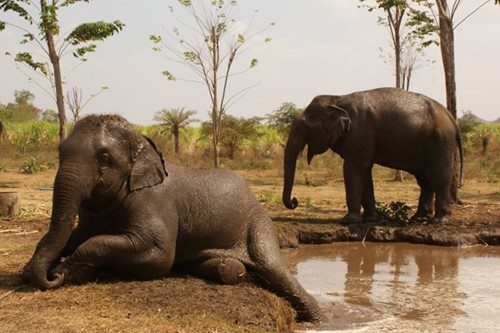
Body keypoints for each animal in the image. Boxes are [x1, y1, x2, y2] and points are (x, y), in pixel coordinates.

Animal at [21, 114, 322, 322]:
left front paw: (65, 269)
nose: (50, 277)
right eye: (60, 152)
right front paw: (30, 269)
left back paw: (317, 318)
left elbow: (158, 255)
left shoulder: (154, 201)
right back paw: (227, 267)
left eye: (104, 158)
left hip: (258, 221)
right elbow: (74, 236)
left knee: (274, 269)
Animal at [284, 87, 462, 223]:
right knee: (424, 180)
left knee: (438, 178)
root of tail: (451, 118)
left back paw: (439, 221)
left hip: (441, 142)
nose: (294, 201)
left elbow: (353, 168)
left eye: (302, 127)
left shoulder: (360, 132)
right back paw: (418, 219)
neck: (337, 99)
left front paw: (348, 221)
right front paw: (371, 218)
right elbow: (365, 170)